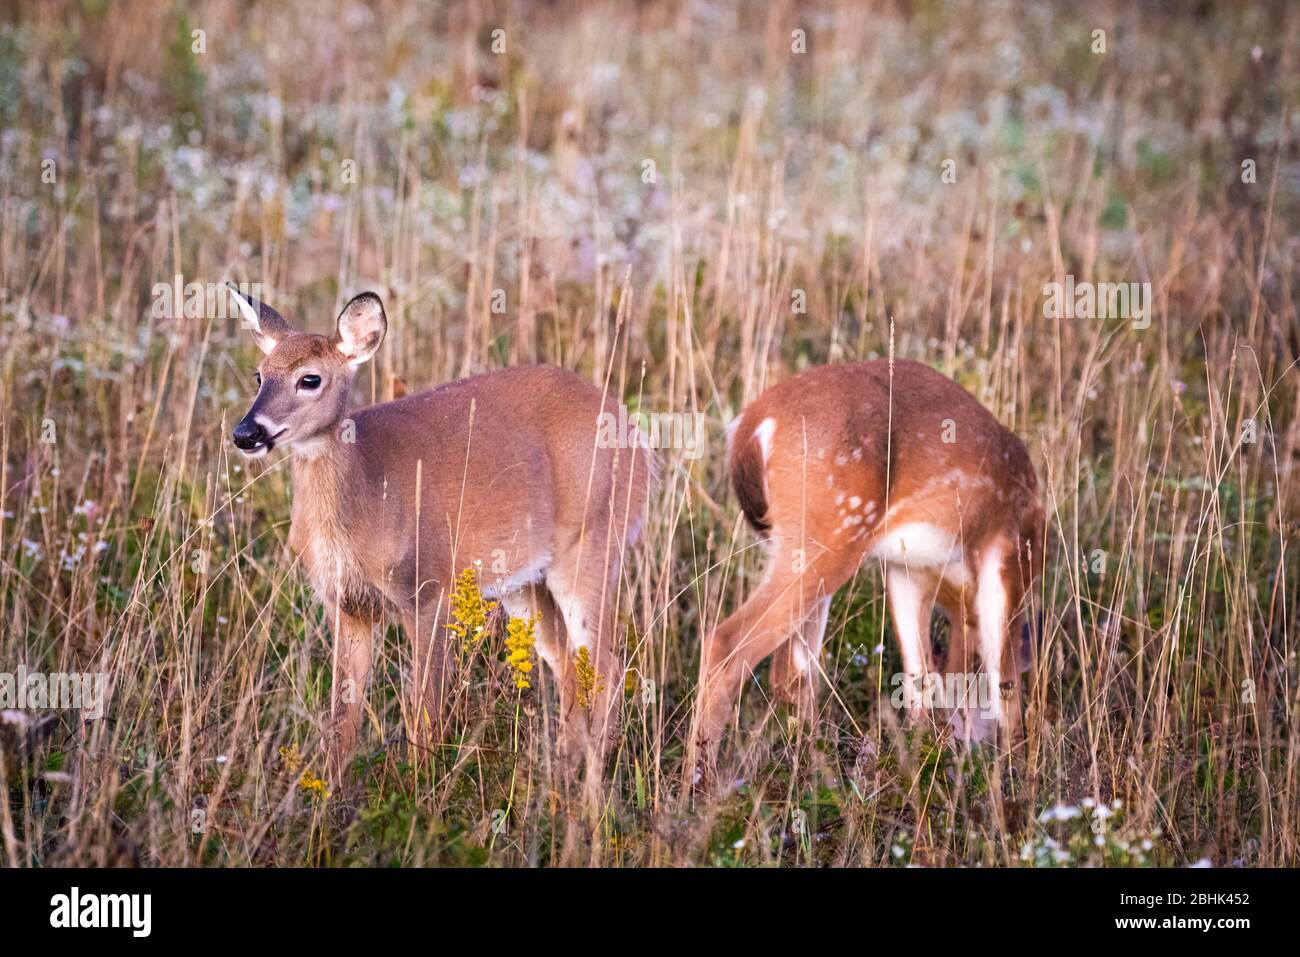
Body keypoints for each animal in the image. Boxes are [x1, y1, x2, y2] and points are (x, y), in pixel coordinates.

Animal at [226, 286, 651, 786]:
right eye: (260, 374)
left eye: (310, 379)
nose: (246, 433)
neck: (365, 498)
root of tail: (639, 441)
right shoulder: (347, 605)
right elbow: (342, 721)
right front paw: (331, 795)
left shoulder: (427, 590)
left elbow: (424, 713)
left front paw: (418, 790)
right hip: (525, 582)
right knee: (570, 665)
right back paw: (560, 778)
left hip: (592, 544)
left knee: (608, 667)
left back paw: (593, 788)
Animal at [690, 359, 1044, 785]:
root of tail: (751, 426)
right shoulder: (1009, 553)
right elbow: (1005, 681)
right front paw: (1020, 774)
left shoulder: (907, 570)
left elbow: (920, 677)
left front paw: (923, 766)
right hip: (831, 532)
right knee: (727, 644)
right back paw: (700, 783)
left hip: (795, 546)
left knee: (793, 671)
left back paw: (813, 769)